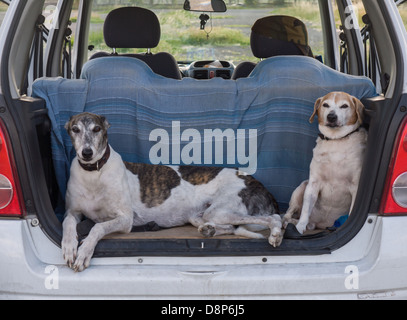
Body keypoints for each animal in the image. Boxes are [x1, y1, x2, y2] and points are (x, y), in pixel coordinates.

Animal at [61, 111, 284, 272]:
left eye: (97, 129)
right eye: (75, 129)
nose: (87, 153)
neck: (94, 173)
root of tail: (256, 182)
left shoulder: (125, 220)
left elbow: (97, 227)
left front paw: (84, 252)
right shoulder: (73, 212)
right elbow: (68, 223)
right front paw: (70, 246)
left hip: (220, 210)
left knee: (273, 218)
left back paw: (275, 234)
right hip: (202, 215)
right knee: (229, 227)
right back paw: (210, 230)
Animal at [284, 91, 370, 234]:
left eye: (344, 106)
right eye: (325, 105)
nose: (331, 117)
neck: (336, 140)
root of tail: (322, 224)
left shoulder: (355, 186)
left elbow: (353, 210)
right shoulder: (313, 183)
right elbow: (305, 211)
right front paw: (299, 227)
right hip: (302, 187)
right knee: (287, 215)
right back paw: (289, 223)